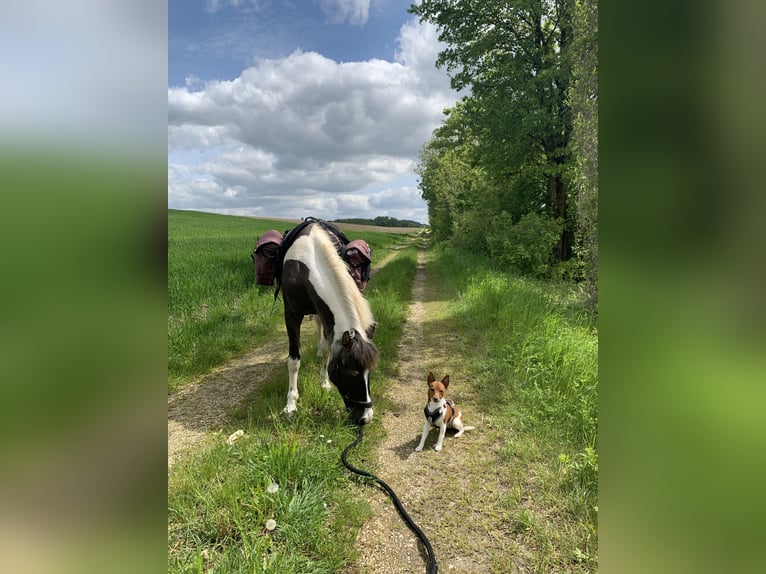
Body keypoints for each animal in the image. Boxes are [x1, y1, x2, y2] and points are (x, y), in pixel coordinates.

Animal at [277, 221, 378, 425]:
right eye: (351, 372)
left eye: (370, 371)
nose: (366, 418)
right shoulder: (291, 315)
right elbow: (293, 361)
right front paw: (291, 404)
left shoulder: (325, 313)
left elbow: (326, 351)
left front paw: (324, 383)